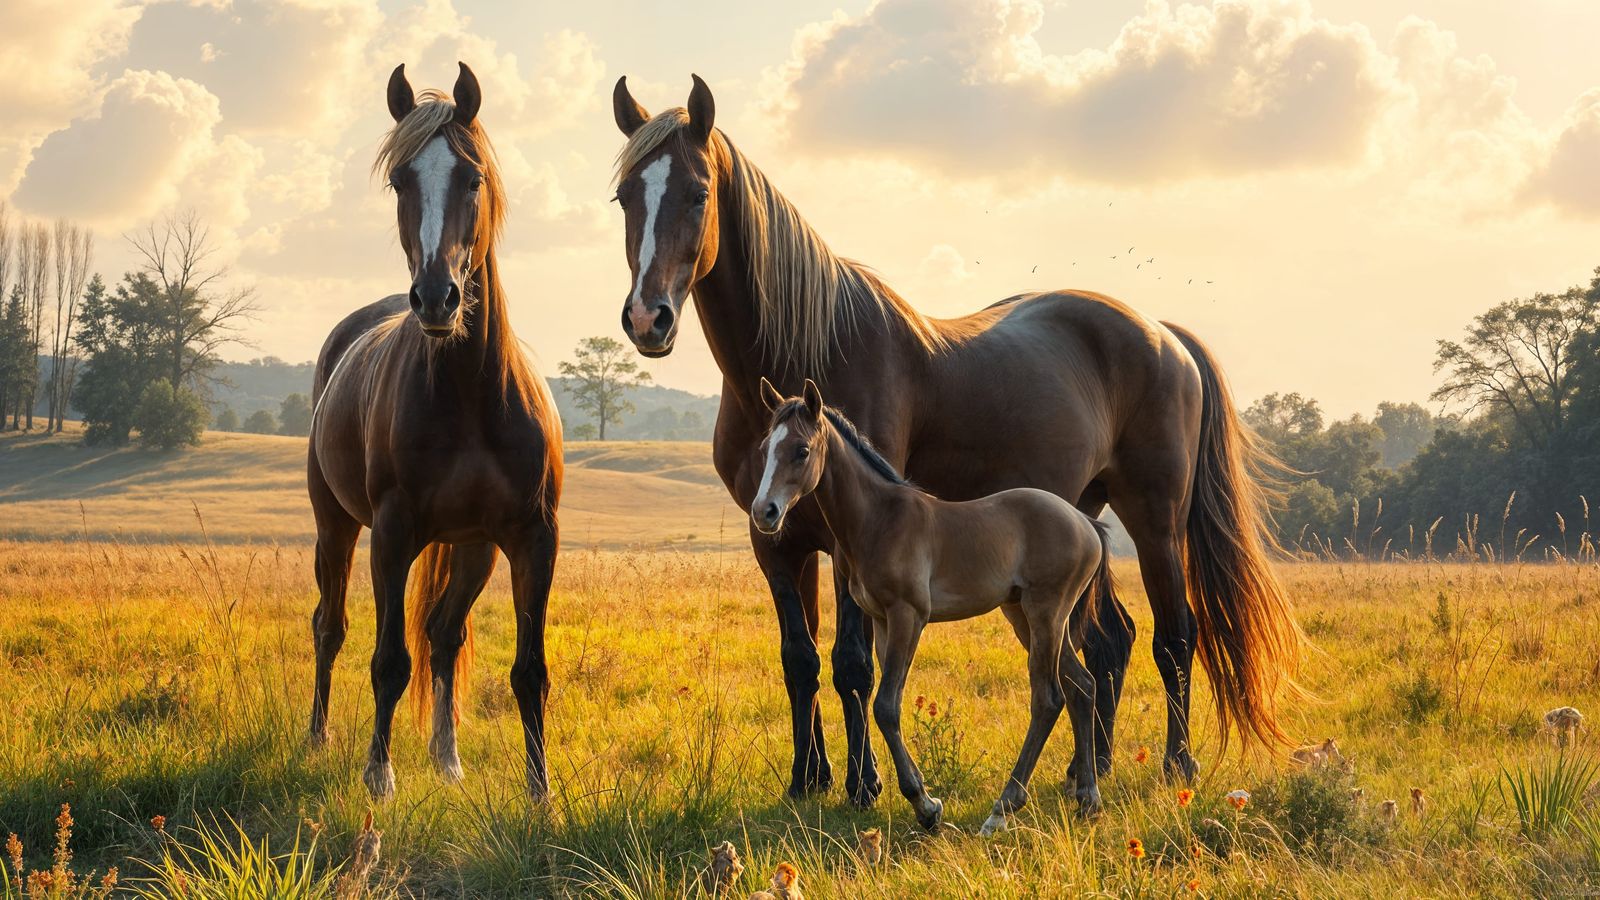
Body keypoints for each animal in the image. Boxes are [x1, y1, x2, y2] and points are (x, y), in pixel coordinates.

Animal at [306, 62, 563, 801]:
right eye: (401, 180)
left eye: (472, 179)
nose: (437, 298)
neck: (471, 395)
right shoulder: (392, 534)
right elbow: (389, 661)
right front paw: (378, 774)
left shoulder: (532, 538)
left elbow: (529, 672)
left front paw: (540, 791)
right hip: (336, 527)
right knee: (329, 627)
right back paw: (316, 736)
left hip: (473, 549)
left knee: (445, 636)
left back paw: (447, 758)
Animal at [752, 378, 1114, 832]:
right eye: (766, 447)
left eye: (801, 449)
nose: (764, 512)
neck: (880, 519)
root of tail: (1087, 524)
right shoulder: (882, 621)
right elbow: (884, 704)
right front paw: (923, 801)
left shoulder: (909, 616)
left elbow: (886, 706)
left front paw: (925, 805)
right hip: (1027, 618)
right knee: (1082, 686)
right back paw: (1088, 799)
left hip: (1045, 614)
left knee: (1049, 698)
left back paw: (1003, 809)